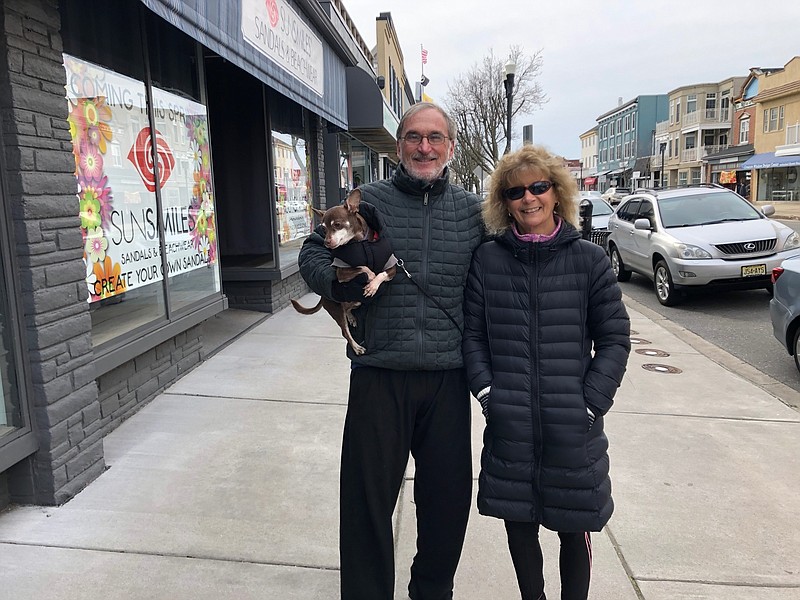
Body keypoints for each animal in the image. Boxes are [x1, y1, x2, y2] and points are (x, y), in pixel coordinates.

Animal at [290, 190, 396, 354]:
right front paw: (370, 276)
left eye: (337, 225)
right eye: (323, 229)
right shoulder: (341, 272)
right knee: (345, 331)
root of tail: (323, 297)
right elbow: (362, 267)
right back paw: (357, 347)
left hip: (357, 301)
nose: (326, 242)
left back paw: (351, 317)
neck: (361, 242)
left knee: (348, 308)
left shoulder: (392, 267)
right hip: (337, 309)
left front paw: (373, 285)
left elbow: (381, 274)